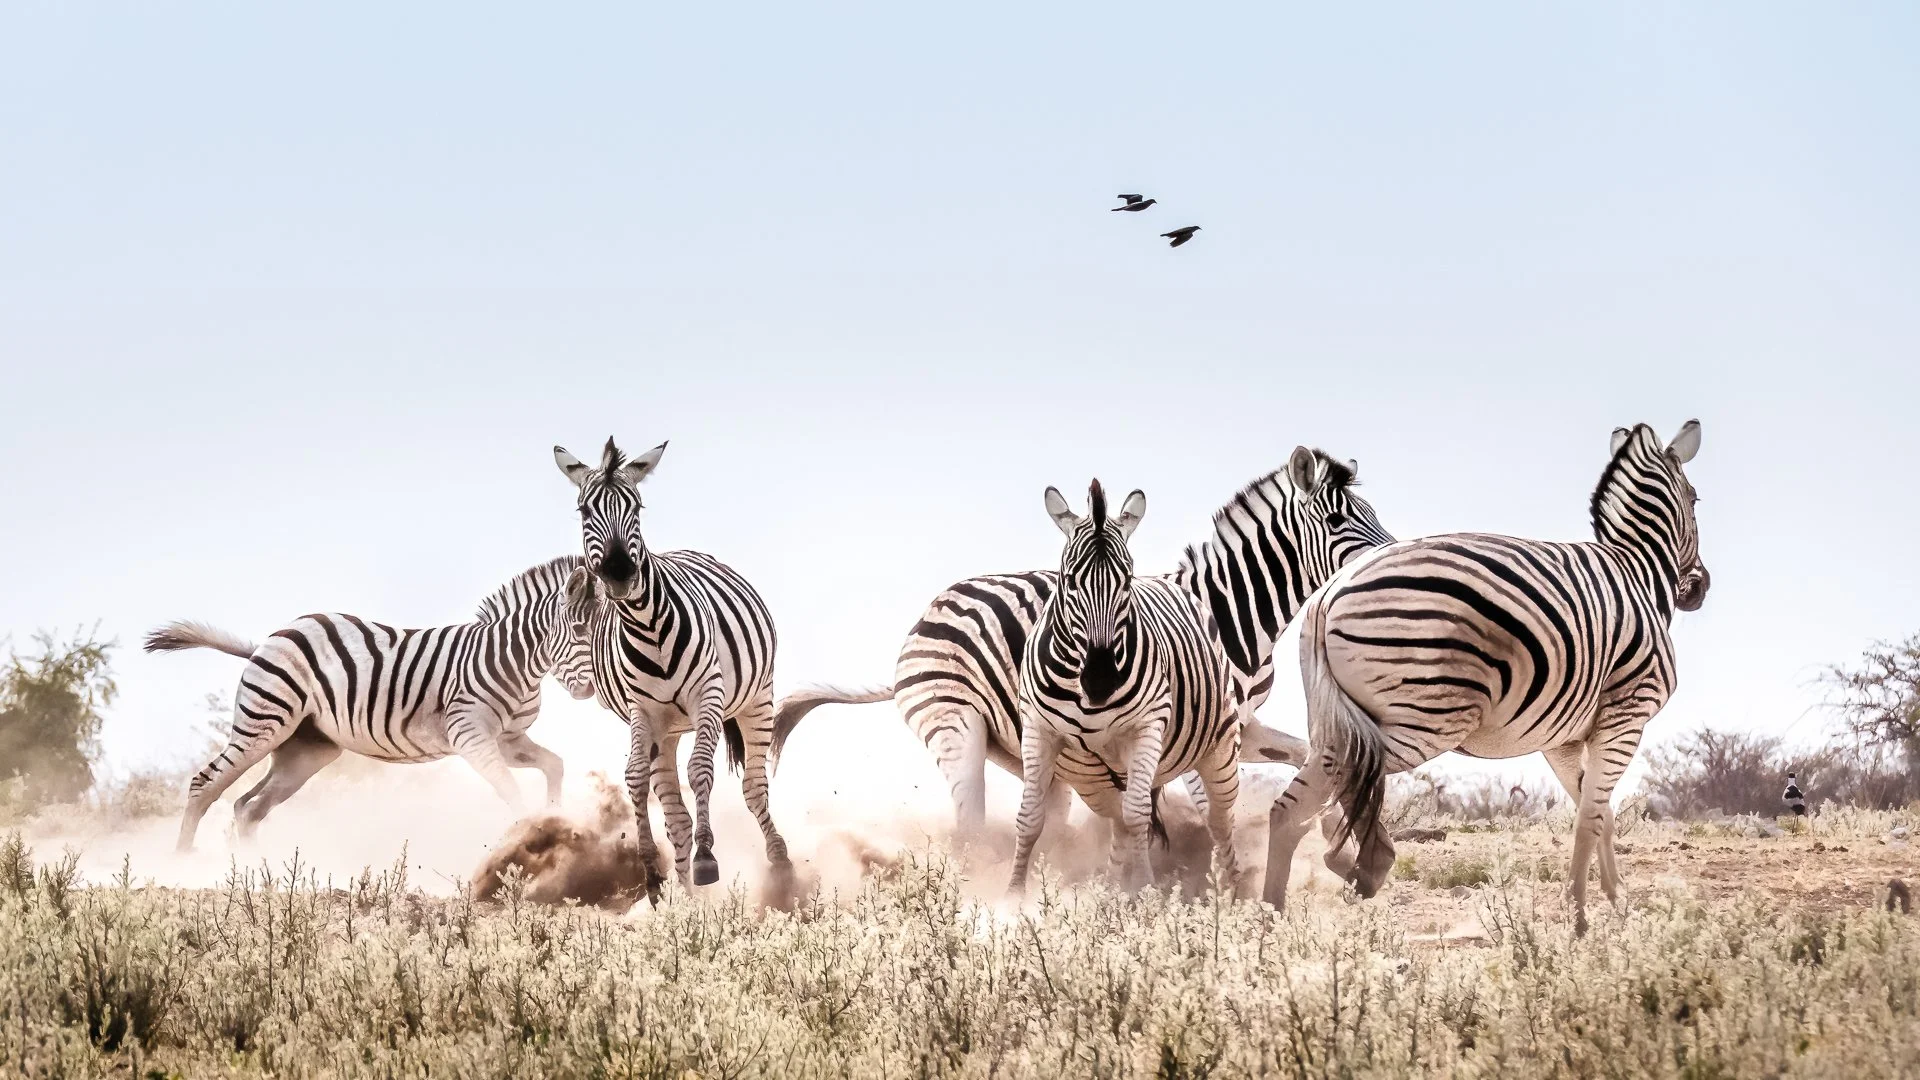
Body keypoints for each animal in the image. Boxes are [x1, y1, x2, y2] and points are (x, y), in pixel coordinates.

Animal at [145, 556, 598, 852]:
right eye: (579, 630)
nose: (589, 692)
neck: (515, 662)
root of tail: (267, 641)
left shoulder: (508, 739)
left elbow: (554, 766)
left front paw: (557, 824)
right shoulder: (470, 734)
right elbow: (512, 793)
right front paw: (532, 841)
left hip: (306, 749)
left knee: (247, 806)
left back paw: (257, 873)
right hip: (263, 723)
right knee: (205, 784)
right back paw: (183, 864)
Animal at [555, 437, 788, 894]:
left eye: (637, 506)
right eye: (584, 510)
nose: (619, 572)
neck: (647, 627)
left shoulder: (708, 697)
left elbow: (700, 771)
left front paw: (706, 856)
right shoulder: (642, 712)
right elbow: (634, 778)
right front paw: (651, 870)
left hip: (758, 699)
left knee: (754, 787)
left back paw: (780, 860)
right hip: (668, 730)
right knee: (675, 813)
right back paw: (684, 895)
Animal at [770, 446, 1393, 852]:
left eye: (1371, 515)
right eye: (1339, 520)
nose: (1391, 557)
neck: (1224, 616)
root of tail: (928, 612)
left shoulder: (1241, 726)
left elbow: (1311, 754)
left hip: (1021, 744)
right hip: (955, 726)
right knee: (970, 825)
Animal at [1006, 480, 1243, 895]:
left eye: (1127, 581)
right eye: (1069, 579)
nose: (1100, 680)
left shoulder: (1146, 729)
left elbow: (1138, 817)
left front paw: (1147, 892)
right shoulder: (1037, 730)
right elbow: (1029, 815)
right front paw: (1013, 895)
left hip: (1220, 751)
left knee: (1218, 821)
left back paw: (1232, 895)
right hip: (1097, 777)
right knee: (1117, 820)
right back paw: (1112, 891)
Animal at [1264, 420, 1708, 933]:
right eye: (1695, 498)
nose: (1699, 589)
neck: (1639, 569)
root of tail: (1326, 594)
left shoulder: (1563, 739)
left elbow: (1600, 814)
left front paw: (1615, 901)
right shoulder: (1627, 714)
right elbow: (1590, 819)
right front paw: (1580, 918)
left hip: (1338, 718)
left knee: (1289, 807)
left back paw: (1270, 919)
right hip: (1426, 718)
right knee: (1316, 796)